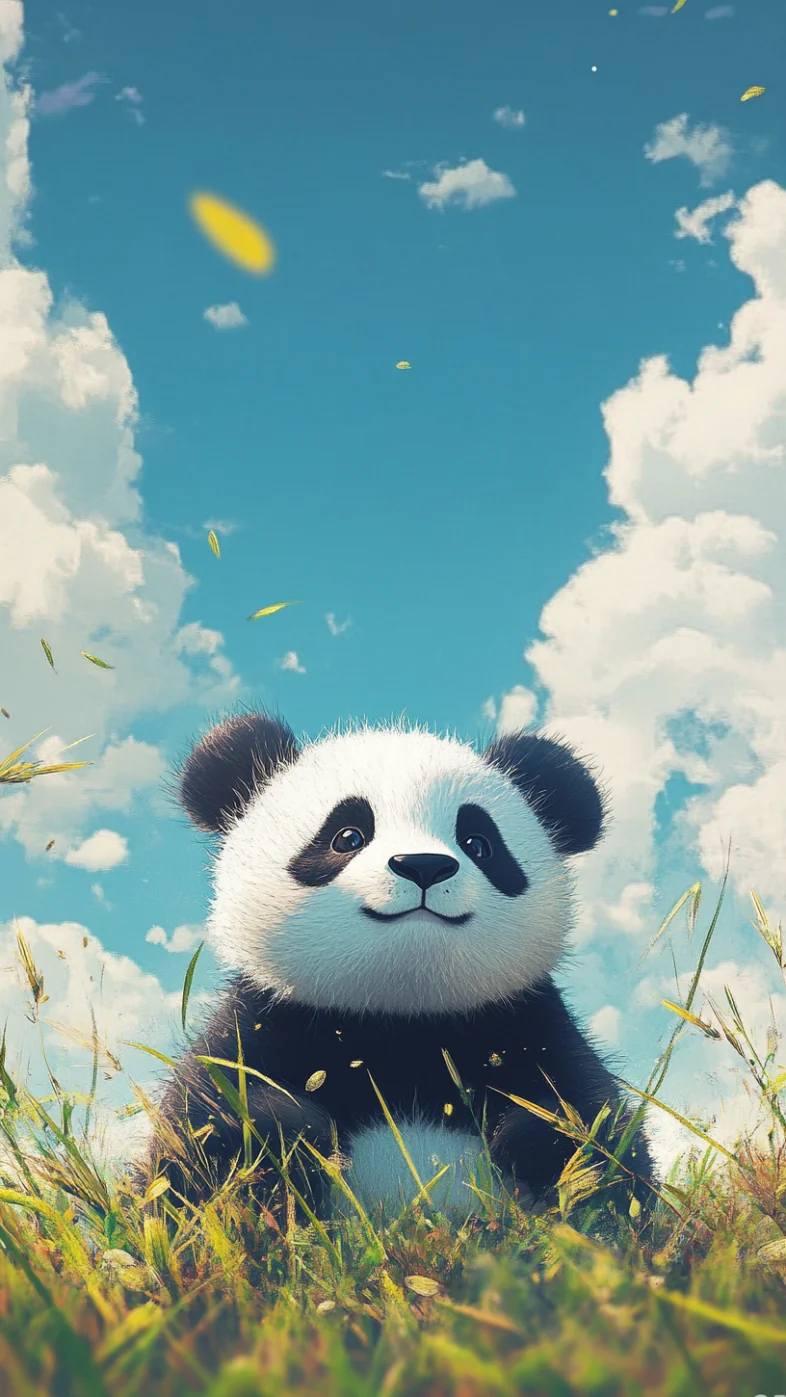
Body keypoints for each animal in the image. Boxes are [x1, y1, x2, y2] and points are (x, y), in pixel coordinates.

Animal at [146, 708, 653, 1222]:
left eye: (479, 842)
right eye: (347, 835)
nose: (424, 865)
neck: (402, 1017)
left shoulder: (528, 1022)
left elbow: (604, 1138)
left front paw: (543, 1141)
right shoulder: (265, 1018)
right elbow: (195, 1136)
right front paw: (284, 1134)